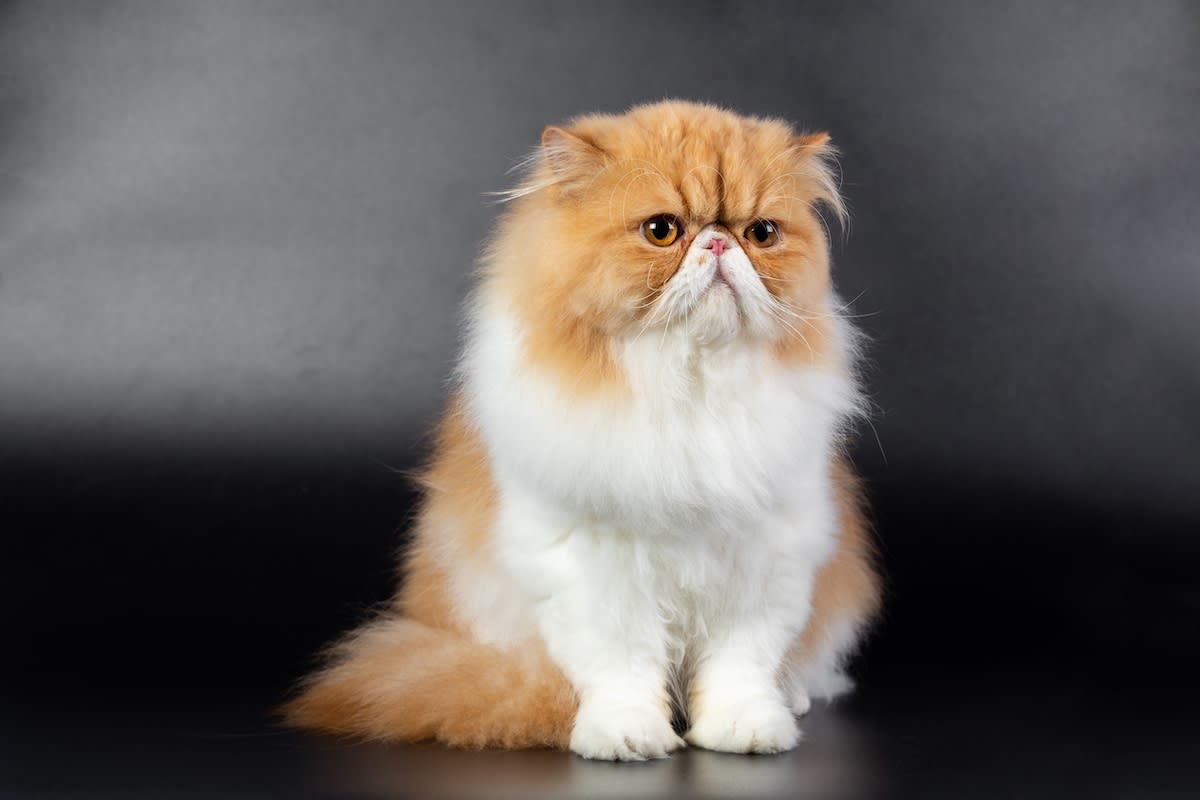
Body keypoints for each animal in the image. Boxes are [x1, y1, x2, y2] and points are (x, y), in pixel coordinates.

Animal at [284, 101, 878, 762]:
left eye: (762, 234)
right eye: (662, 231)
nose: (721, 242)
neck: (686, 385)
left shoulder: (761, 556)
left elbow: (739, 666)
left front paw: (744, 729)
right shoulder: (593, 564)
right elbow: (622, 666)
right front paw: (625, 736)